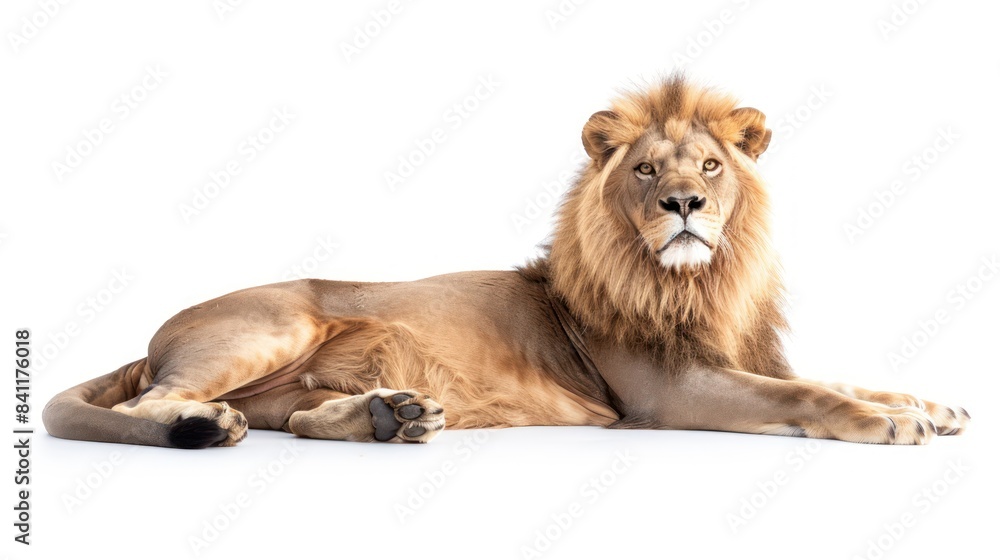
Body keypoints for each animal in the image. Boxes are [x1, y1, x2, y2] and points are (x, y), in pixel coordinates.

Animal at [43, 76, 969, 448]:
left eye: (710, 167)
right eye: (646, 171)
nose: (685, 205)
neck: (699, 282)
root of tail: (155, 338)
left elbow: (842, 375)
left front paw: (929, 403)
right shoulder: (669, 391)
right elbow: (807, 393)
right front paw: (890, 423)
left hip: (285, 383)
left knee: (295, 419)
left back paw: (389, 417)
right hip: (273, 327)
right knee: (152, 404)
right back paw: (202, 425)